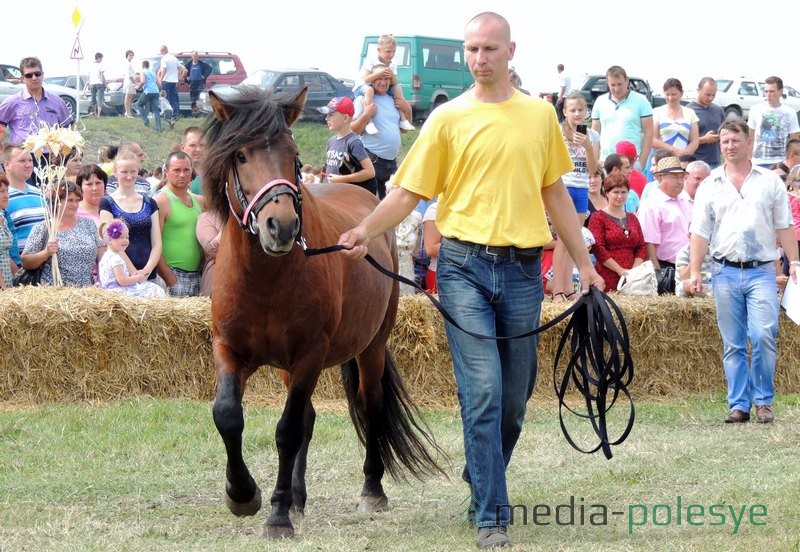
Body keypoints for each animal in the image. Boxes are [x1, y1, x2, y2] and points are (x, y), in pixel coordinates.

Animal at [202, 87, 444, 540]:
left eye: (293, 155)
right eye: (240, 155)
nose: (280, 226)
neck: (265, 278)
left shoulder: (309, 356)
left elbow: (287, 430)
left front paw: (276, 515)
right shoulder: (228, 349)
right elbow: (228, 415)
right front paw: (243, 494)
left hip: (371, 348)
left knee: (370, 406)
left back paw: (371, 490)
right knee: (311, 418)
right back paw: (297, 498)